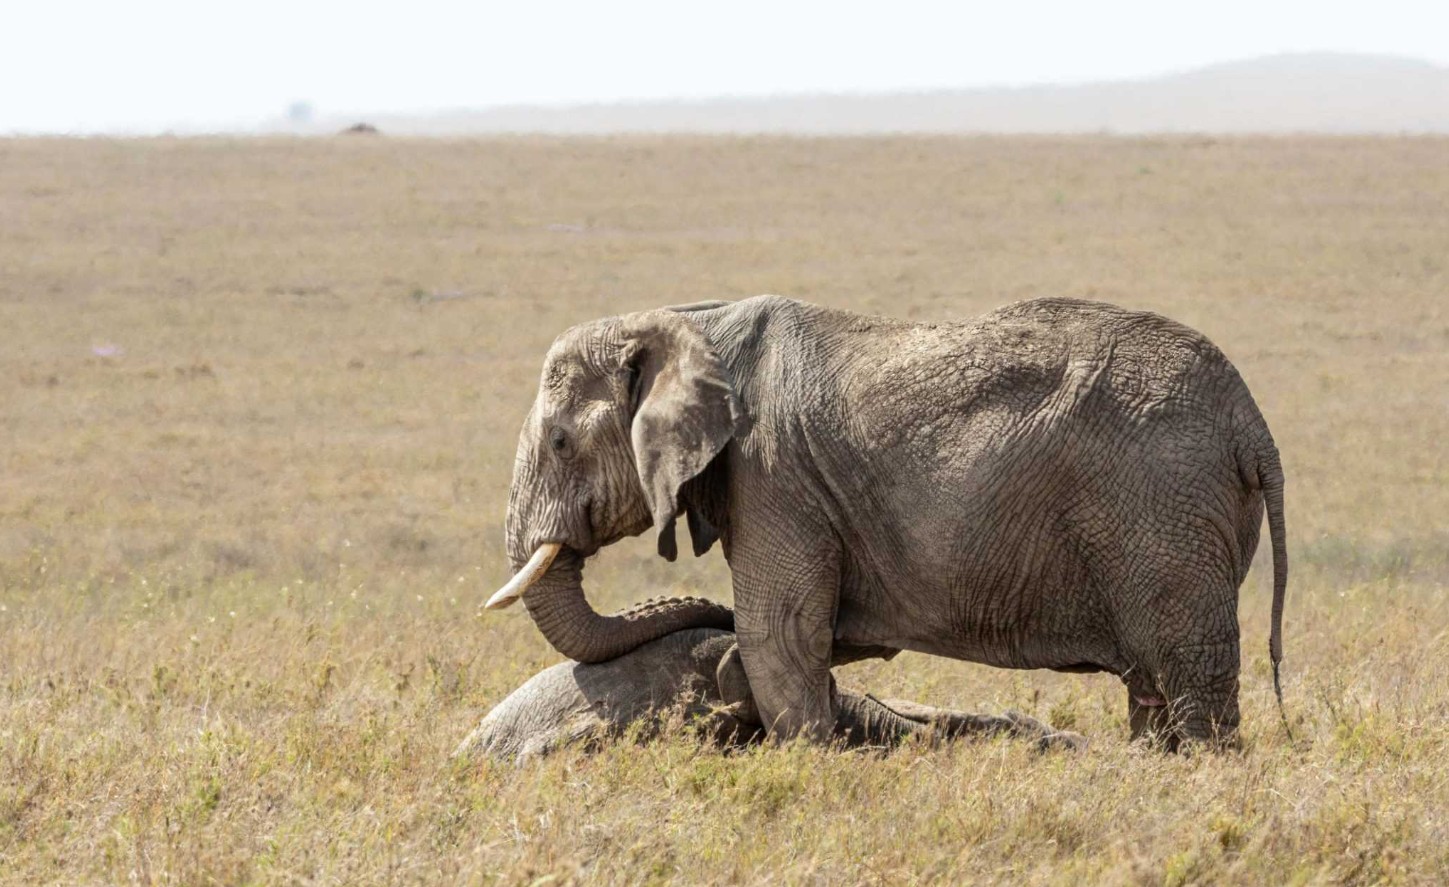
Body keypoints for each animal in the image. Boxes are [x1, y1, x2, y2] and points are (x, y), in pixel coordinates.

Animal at [489, 295, 1292, 747]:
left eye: (559, 443)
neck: (686, 321)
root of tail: (1251, 422)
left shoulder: (772, 476)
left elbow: (779, 633)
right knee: (1151, 684)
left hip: (1162, 506)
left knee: (1190, 672)